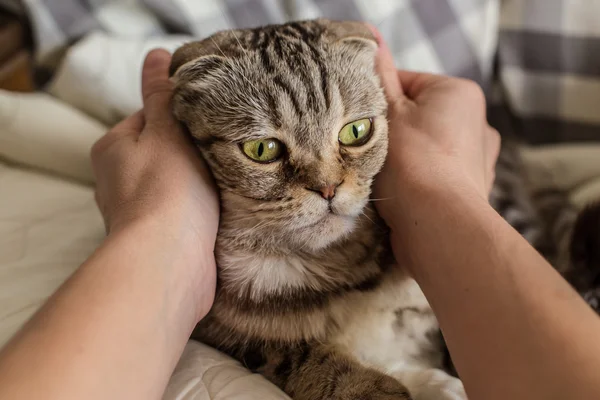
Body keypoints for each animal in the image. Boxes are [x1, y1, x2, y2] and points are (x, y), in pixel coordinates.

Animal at [168, 17, 600, 398]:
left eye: (355, 131)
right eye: (262, 149)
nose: (327, 188)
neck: (332, 268)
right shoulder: (225, 332)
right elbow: (300, 357)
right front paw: (375, 388)